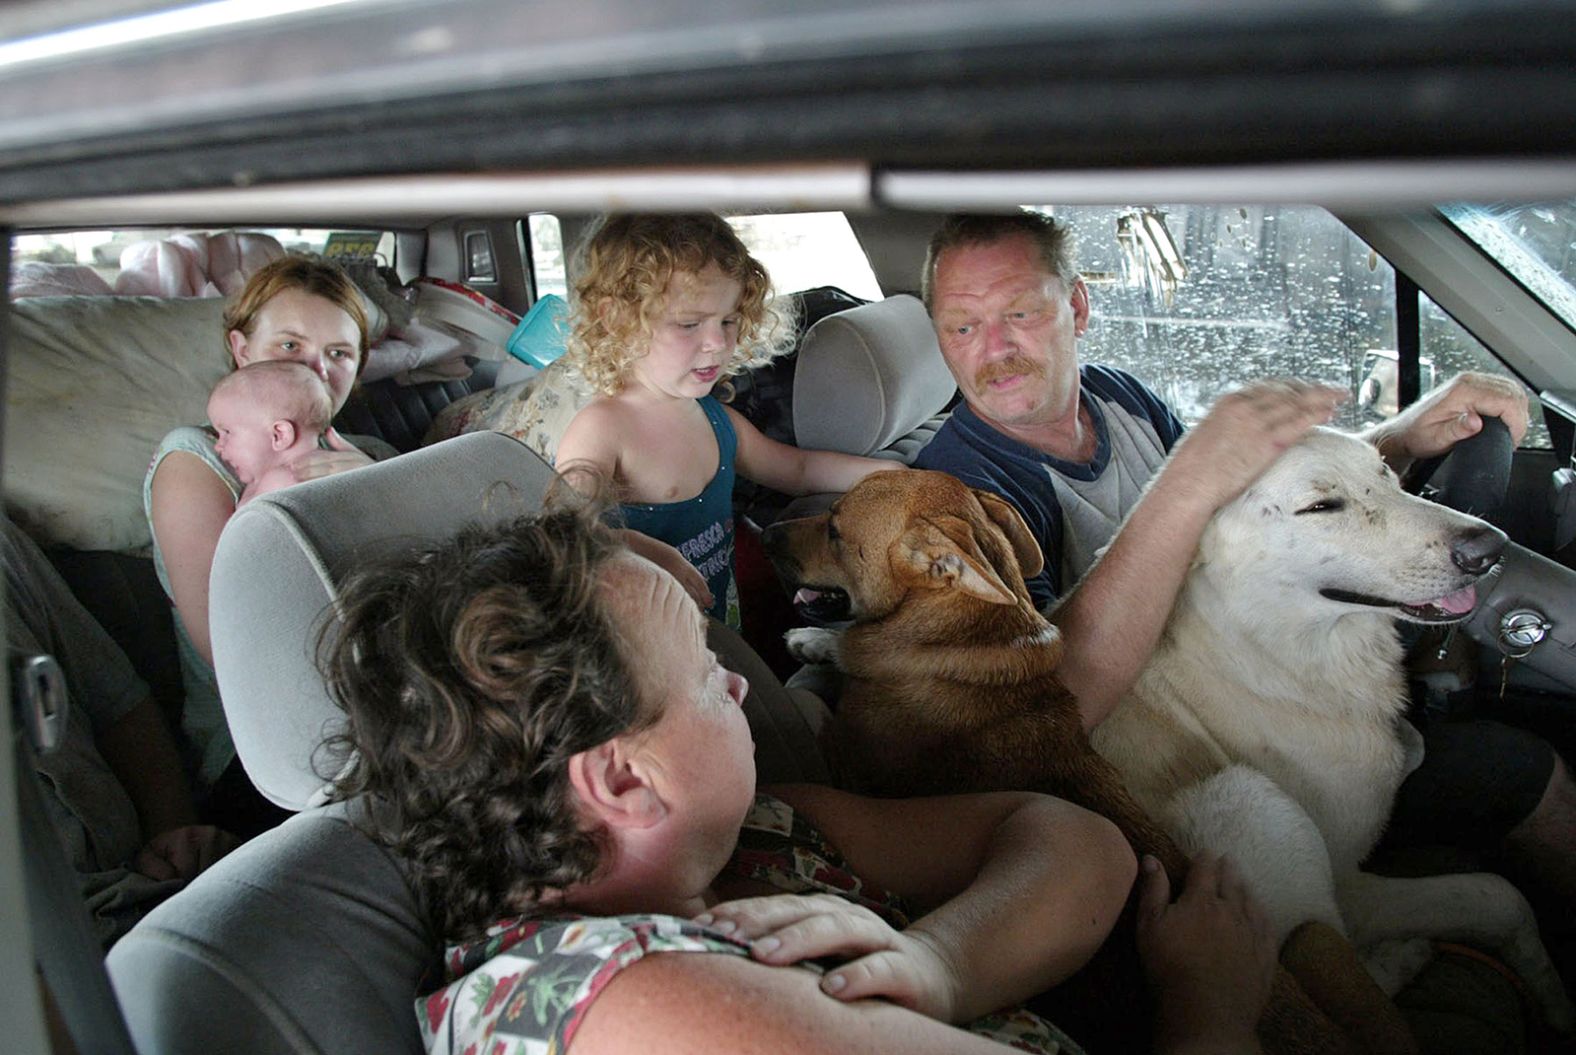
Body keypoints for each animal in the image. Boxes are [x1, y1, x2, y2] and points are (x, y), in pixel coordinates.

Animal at [762, 466, 1418, 1053]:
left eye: (835, 527)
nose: (763, 529)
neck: (976, 636)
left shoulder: (847, 754)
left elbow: (827, 698)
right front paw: (814, 642)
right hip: (1314, 943)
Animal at [1090, 422, 1569, 1021]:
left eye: (1385, 475)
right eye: (1322, 506)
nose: (1491, 548)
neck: (1269, 652)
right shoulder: (1351, 882)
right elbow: (1499, 895)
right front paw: (1554, 996)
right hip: (1249, 801)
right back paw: (1404, 958)